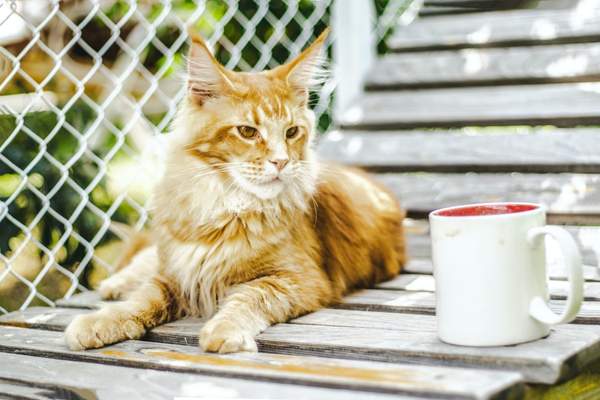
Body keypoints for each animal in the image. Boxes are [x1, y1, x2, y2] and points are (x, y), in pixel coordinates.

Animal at [63, 28, 406, 354]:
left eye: (292, 132)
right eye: (247, 132)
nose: (281, 161)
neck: (225, 207)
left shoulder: (300, 279)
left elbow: (249, 298)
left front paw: (224, 329)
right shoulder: (174, 274)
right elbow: (141, 299)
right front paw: (102, 320)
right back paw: (115, 283)